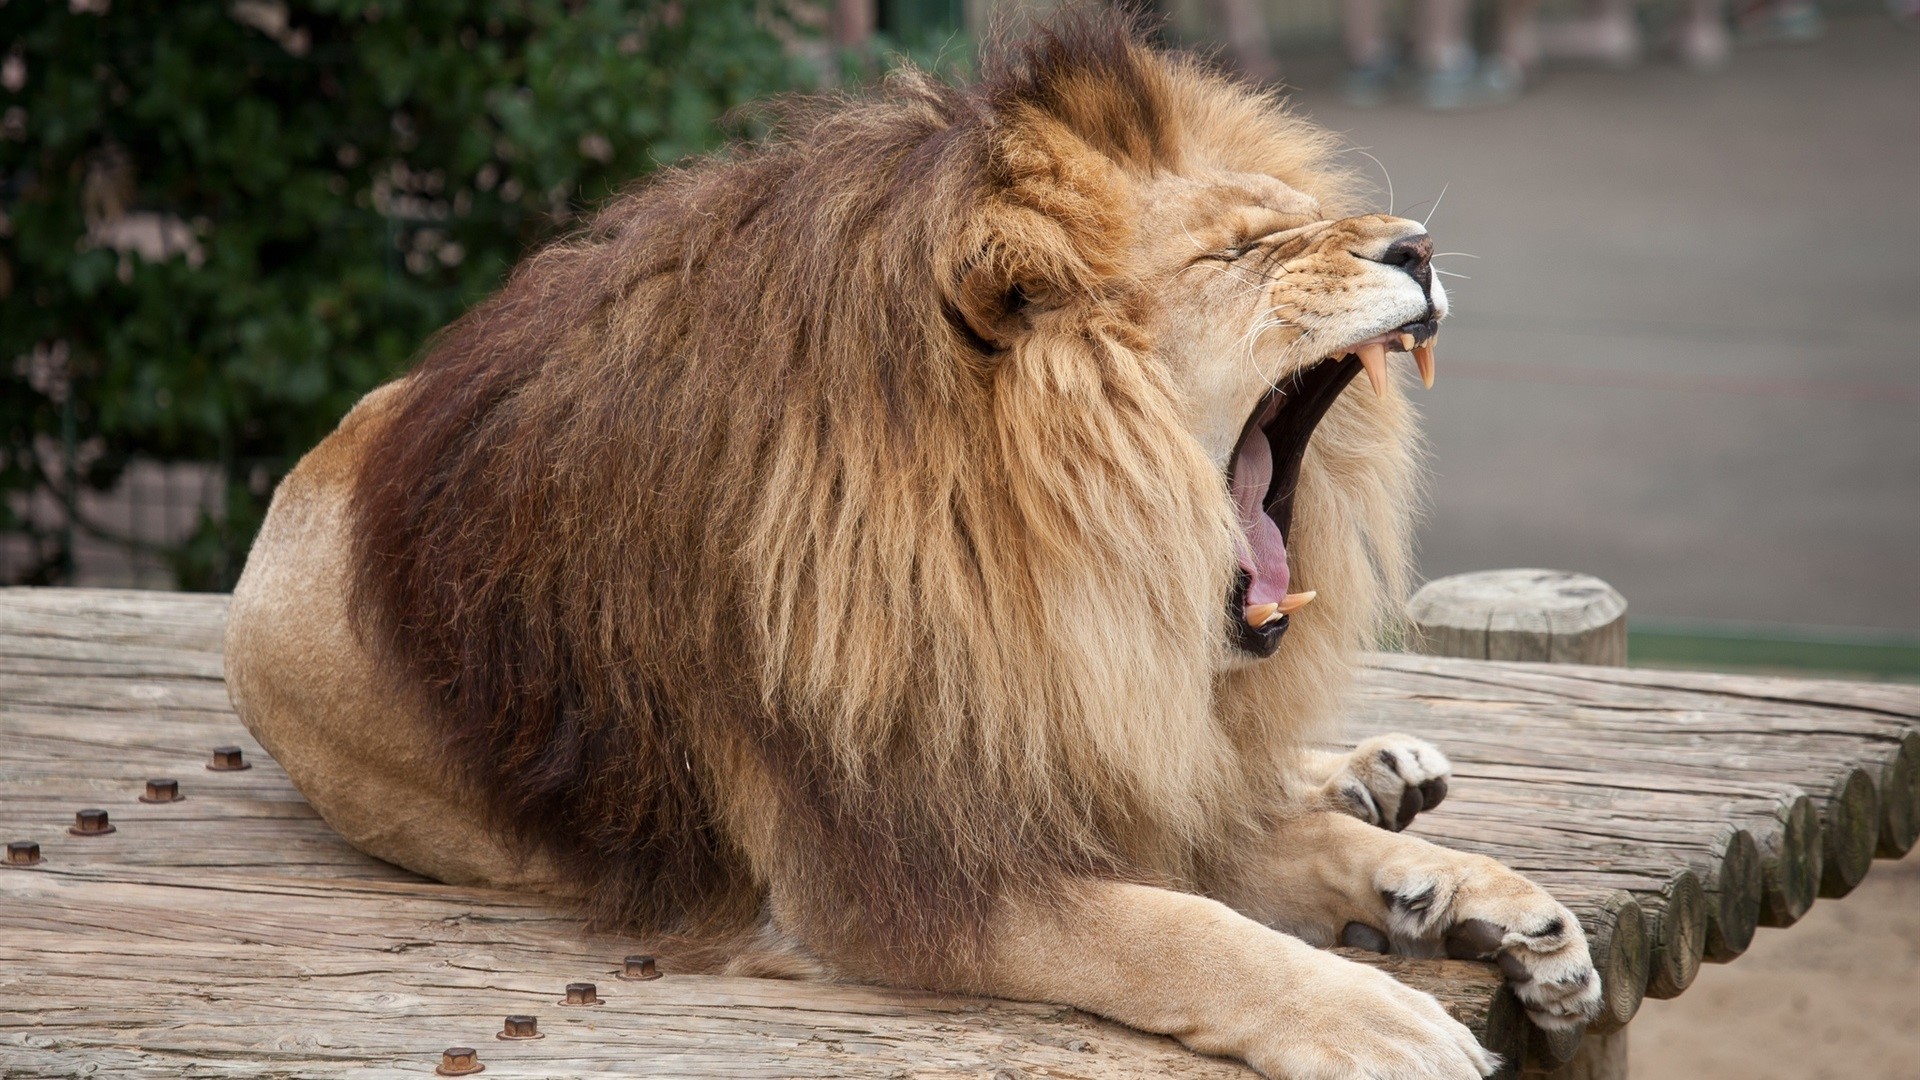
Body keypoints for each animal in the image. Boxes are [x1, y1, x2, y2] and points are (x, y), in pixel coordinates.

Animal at [224, 13, 1600, 1079]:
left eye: (1300, 219)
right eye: (1239, 252)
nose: (1416, 246)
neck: (1045, 567)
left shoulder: (1049, 753)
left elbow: (1242, 851)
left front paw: (1479, 898)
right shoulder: (886, 870)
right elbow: (1170, 929)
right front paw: (1379, 1012)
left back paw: (1378, 776)